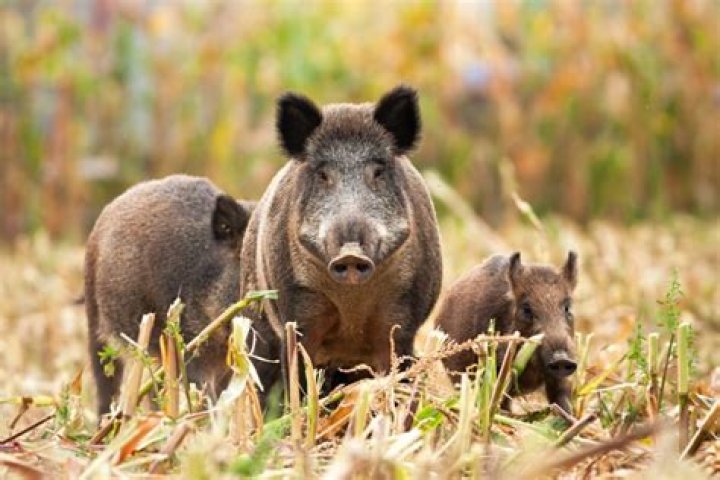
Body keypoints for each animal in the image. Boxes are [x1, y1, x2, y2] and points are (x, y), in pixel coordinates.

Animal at [240, 85, 443, 395]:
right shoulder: (297, 314)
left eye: (378, 172)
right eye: (323, 174)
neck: (351, 307)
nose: (351, 254)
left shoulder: (402, 320)